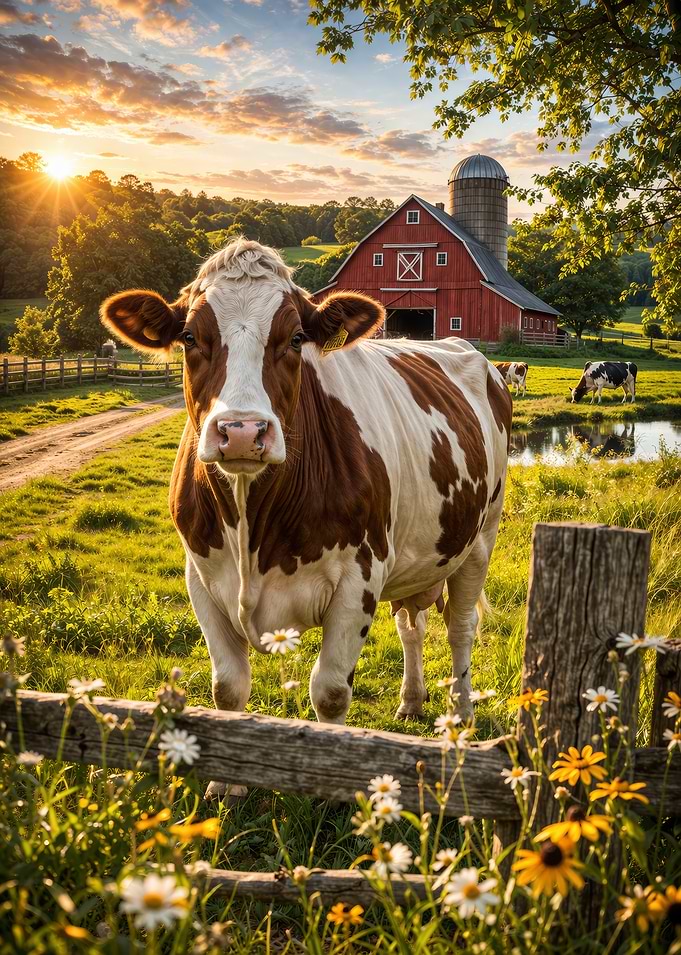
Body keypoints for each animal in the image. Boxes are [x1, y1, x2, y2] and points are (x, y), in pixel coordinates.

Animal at [101, 239, 512, 793]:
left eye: (296, 338)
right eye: (189, 336)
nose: (242, 431)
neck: (253, 524)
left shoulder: (360, 576)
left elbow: (331, 690)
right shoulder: (201, 577)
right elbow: (228, 687)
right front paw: (223, 785)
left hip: (480, 538)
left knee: (461, 627)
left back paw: (462, 715)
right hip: (419, 553)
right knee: (412, 625)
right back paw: (410, 701)